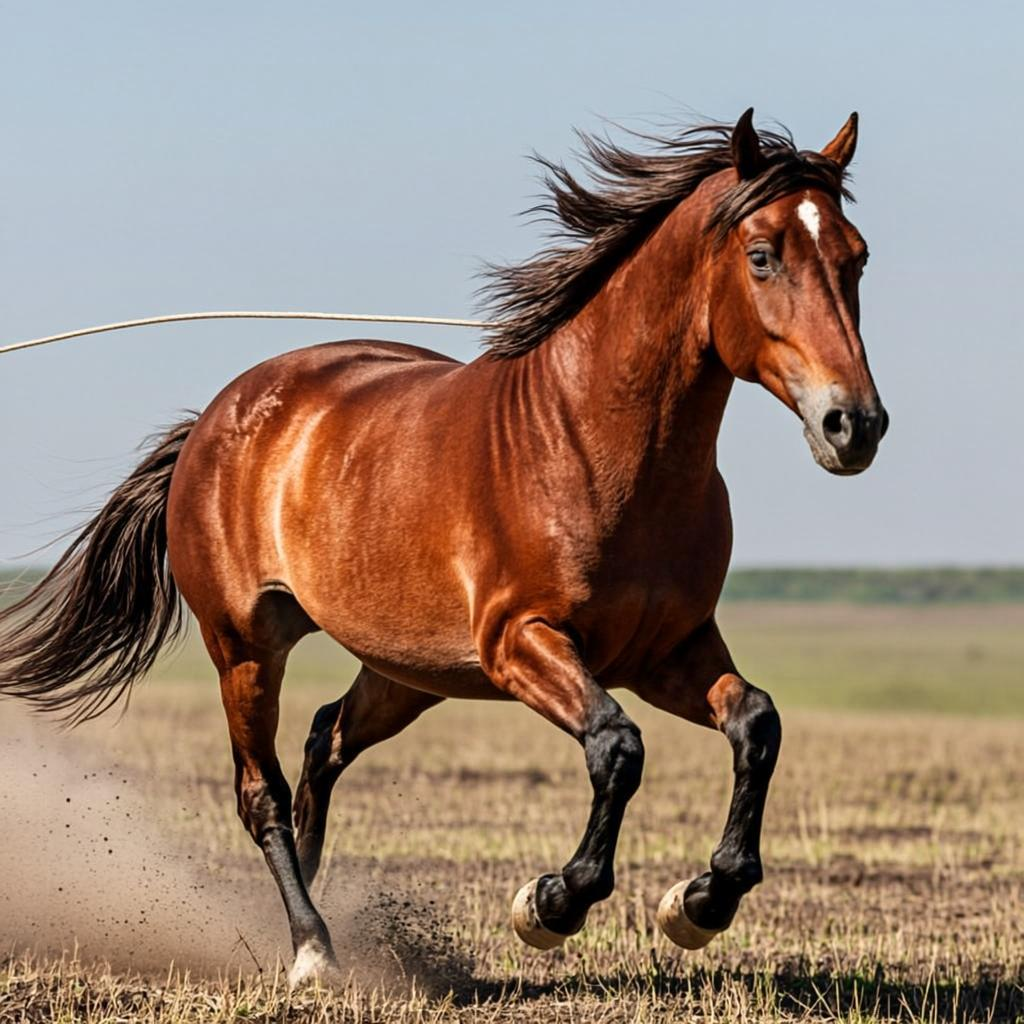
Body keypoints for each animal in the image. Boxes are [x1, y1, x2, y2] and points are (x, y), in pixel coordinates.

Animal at [0, 108, 887, 984]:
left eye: (857, 256)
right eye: (763, 255)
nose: (855, 424)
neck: (593, 444)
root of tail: (214, 420)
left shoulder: (668, 651)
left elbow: (757, 723)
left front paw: (700, 902)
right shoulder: (523, 644)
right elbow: (617, 747)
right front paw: (551, 903)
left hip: (408, 671)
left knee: (324, 740)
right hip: (247, 649)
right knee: (263, 793)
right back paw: (313, 949)